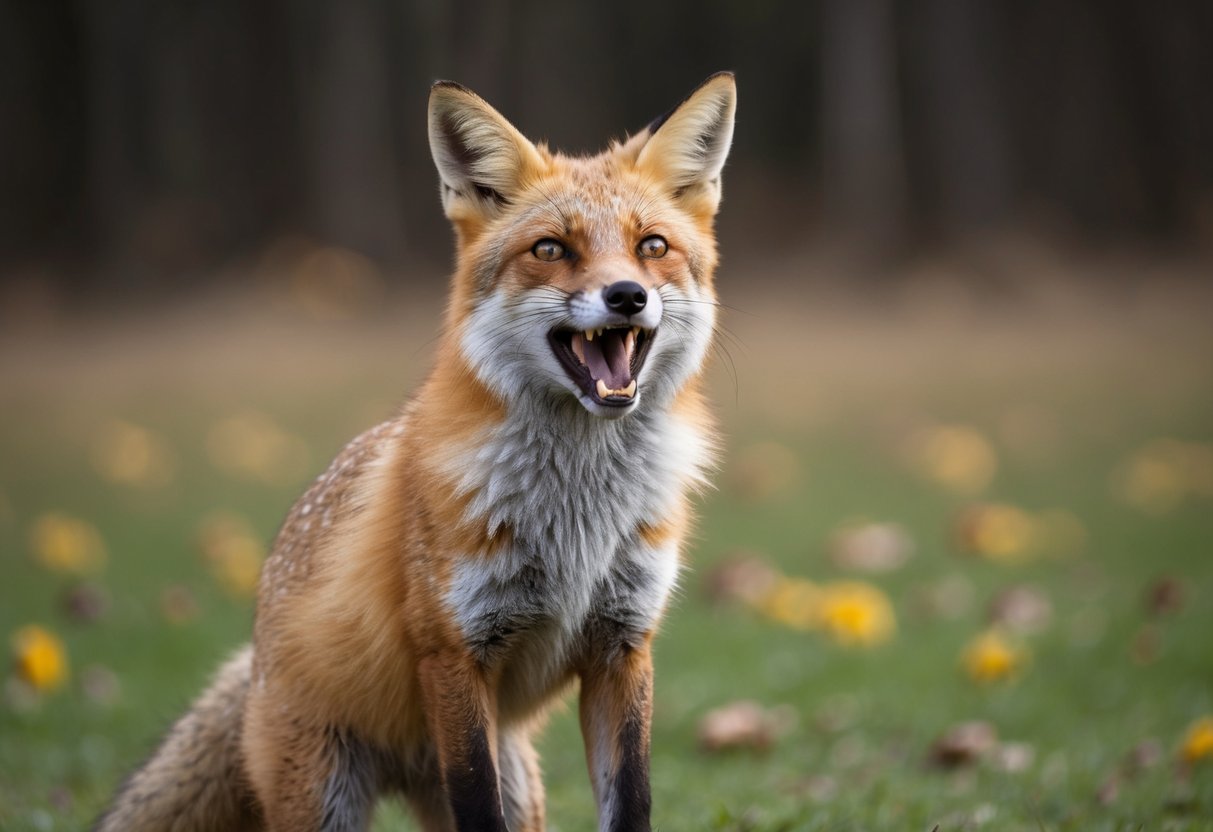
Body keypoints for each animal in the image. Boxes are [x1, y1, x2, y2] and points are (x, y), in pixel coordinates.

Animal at [95, 71, 736, 832]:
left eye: (653, 247)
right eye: (551, 249)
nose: (627, 295)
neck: (577, 518)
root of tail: (253, 665)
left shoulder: (623, 643)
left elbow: (630, 801)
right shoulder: (454, 651)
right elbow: (478, 806)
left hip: (518, 781)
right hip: (326, 799)